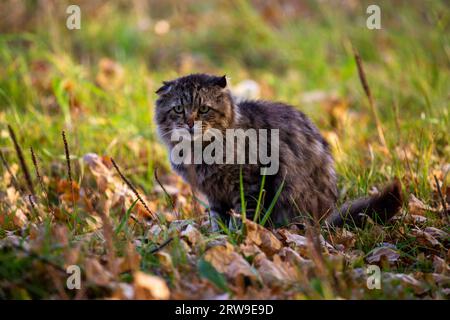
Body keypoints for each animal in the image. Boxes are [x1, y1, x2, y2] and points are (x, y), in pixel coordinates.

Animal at [155, 74, 400, 229]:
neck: (198, 151)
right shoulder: (215, 195)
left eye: (204, 109)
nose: (189, 123)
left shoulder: (249, 182)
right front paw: (220, 238)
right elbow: (219, 219)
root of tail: (326, 219)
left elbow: (245, 215)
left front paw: (240, 237)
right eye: (179, 109)